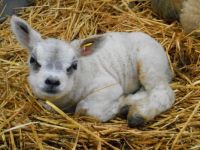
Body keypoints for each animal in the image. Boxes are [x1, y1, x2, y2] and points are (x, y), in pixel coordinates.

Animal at [10, 15, 175, 127]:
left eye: (74, 65)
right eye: (33, 60)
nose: (52, 81)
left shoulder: (108, 87)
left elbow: (85, 109)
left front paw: (121, 104)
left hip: (150, 64)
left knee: (163, 93)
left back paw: (138, 114)